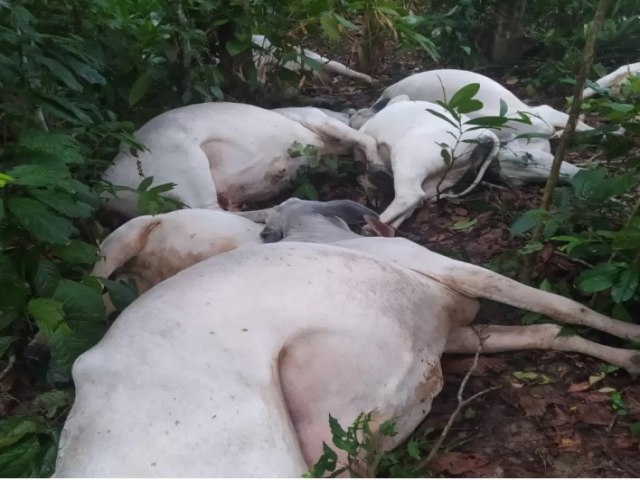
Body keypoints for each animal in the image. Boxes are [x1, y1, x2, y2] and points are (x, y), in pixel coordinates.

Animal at [100, 103, 380, 219]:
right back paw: (285, 205)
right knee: (210, 211)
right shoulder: (313, 118)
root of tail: (106, 184)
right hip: (186, 160)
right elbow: (363, 138)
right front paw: (374, 167)